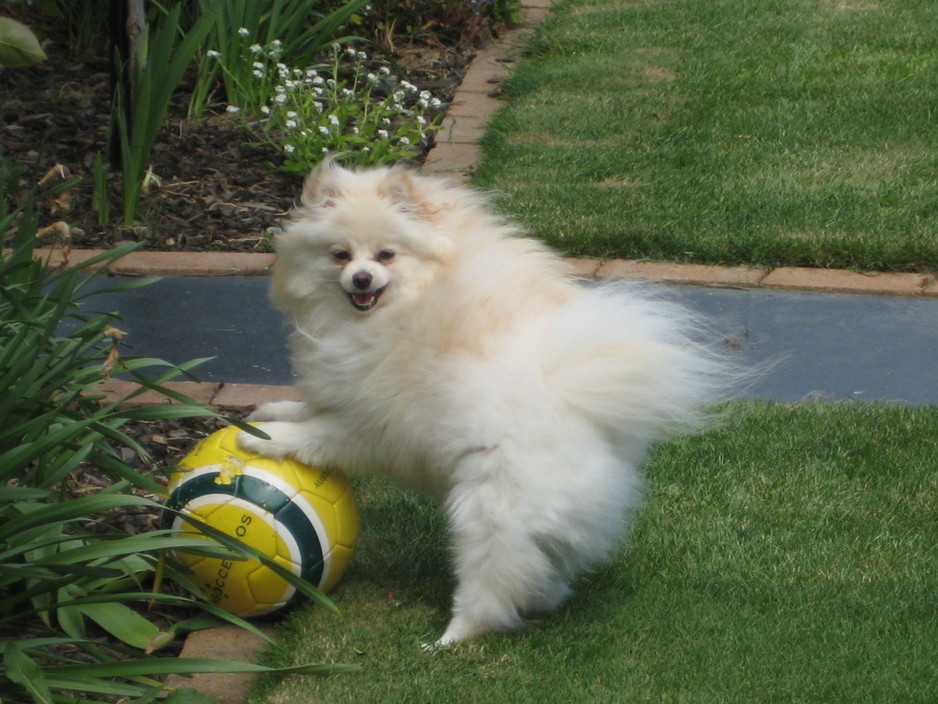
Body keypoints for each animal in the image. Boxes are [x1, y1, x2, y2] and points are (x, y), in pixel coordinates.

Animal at [239, 162, 724, 648]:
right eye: (340, 255)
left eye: (385, 255)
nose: (361, 278)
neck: (402, 305)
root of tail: (584, 407)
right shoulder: (349, 400)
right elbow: (311, 411)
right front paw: (270, 414)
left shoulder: (373, 425)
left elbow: (320, 434)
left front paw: (268, 440)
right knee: (541, 570)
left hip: (490, 513)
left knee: (492, 585)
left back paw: (449, 638)